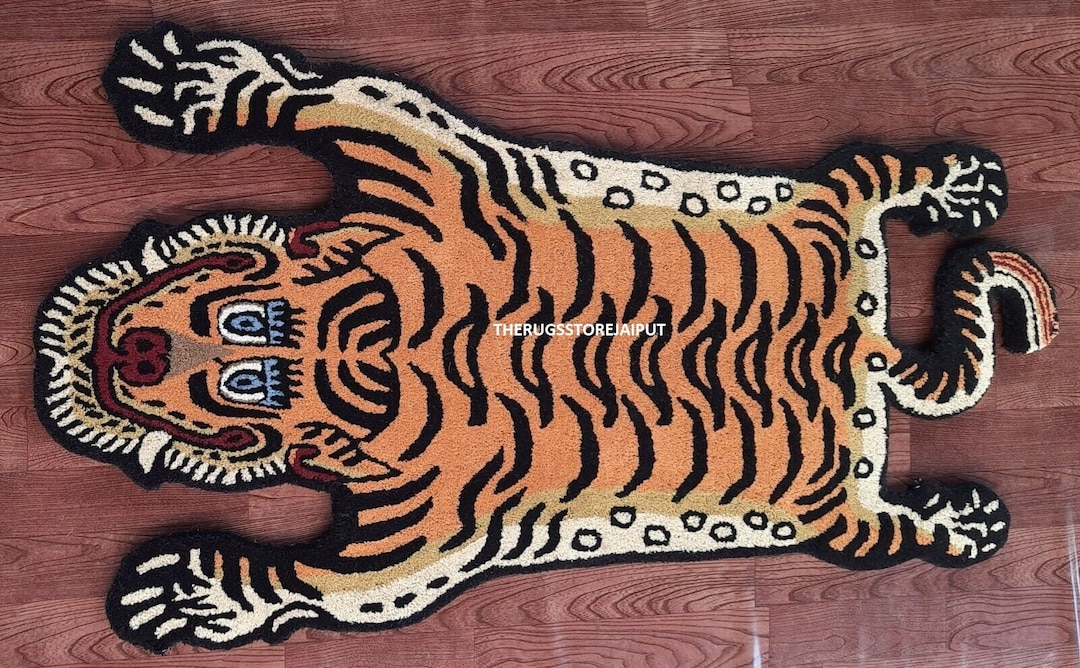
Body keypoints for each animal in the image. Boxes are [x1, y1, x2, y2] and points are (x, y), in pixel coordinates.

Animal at [33, 23, 1058, 652]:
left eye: (240, 343)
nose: (129, 354)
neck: (362, 347)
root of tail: (866, 344)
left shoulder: (424, 161)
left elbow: (317, 98)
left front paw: (200, 596)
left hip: (837, 476)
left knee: (876, 182)